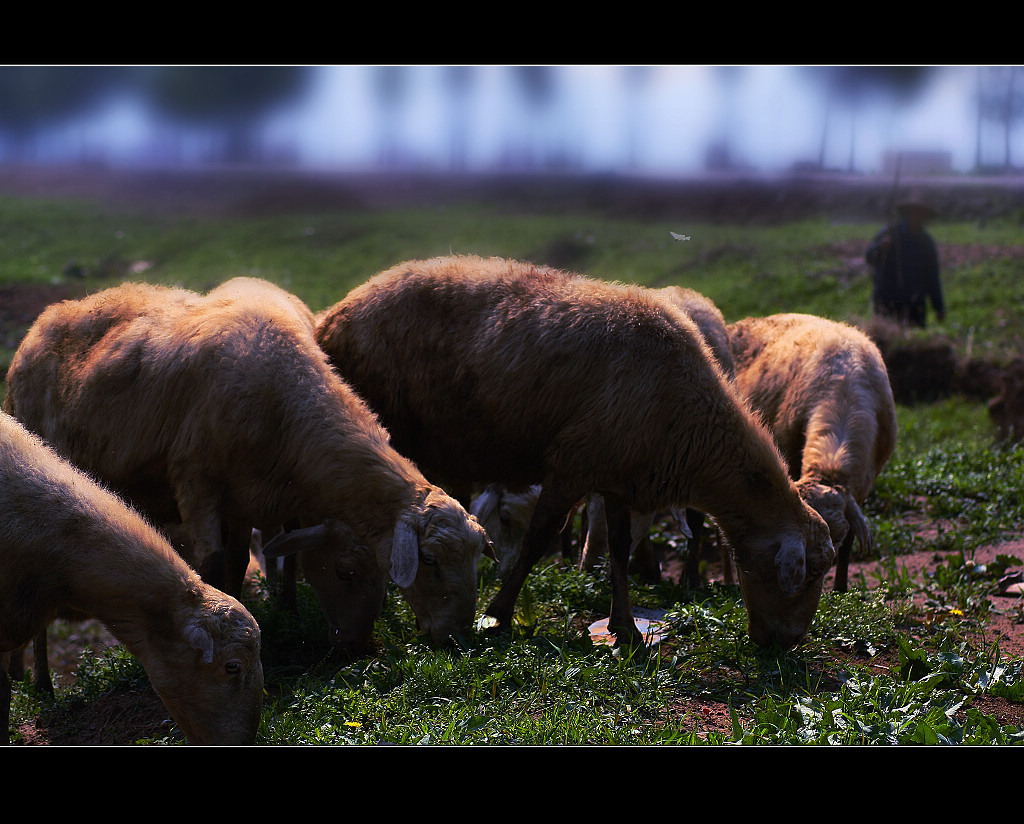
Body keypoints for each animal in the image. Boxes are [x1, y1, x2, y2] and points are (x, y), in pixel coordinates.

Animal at [3, 276, 491, 651]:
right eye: (429, 561)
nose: (457, 638)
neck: (287, 411)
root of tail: (45, 319)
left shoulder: (244, 499)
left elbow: (240, 564)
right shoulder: (197, 485)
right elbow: (214, 566)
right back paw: (43, 687)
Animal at [315, 253, 835, 651]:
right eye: (809, 576)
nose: (788, 644)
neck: (690, 419)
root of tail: (334, 314)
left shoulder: (620, 477)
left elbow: (621, 549)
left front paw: (625, 628)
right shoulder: (571, 467)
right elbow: (537, 541)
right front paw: (498, 615)